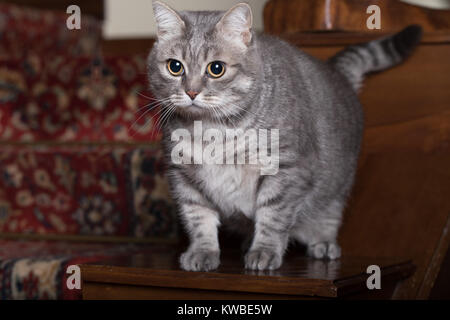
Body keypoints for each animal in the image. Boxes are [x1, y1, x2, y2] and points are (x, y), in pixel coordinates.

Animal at [147, 0, 422, 272]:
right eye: (174, 67)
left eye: (216, 69)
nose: (191, 92)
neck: (210, 130)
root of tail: (336, 71)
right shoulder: (183, 176)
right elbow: (198, 218)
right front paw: (202, 252)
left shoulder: (287, 168)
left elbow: (273, 216)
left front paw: (264, 252)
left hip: (336, 190)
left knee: (329, 216)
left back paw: (323, 244)